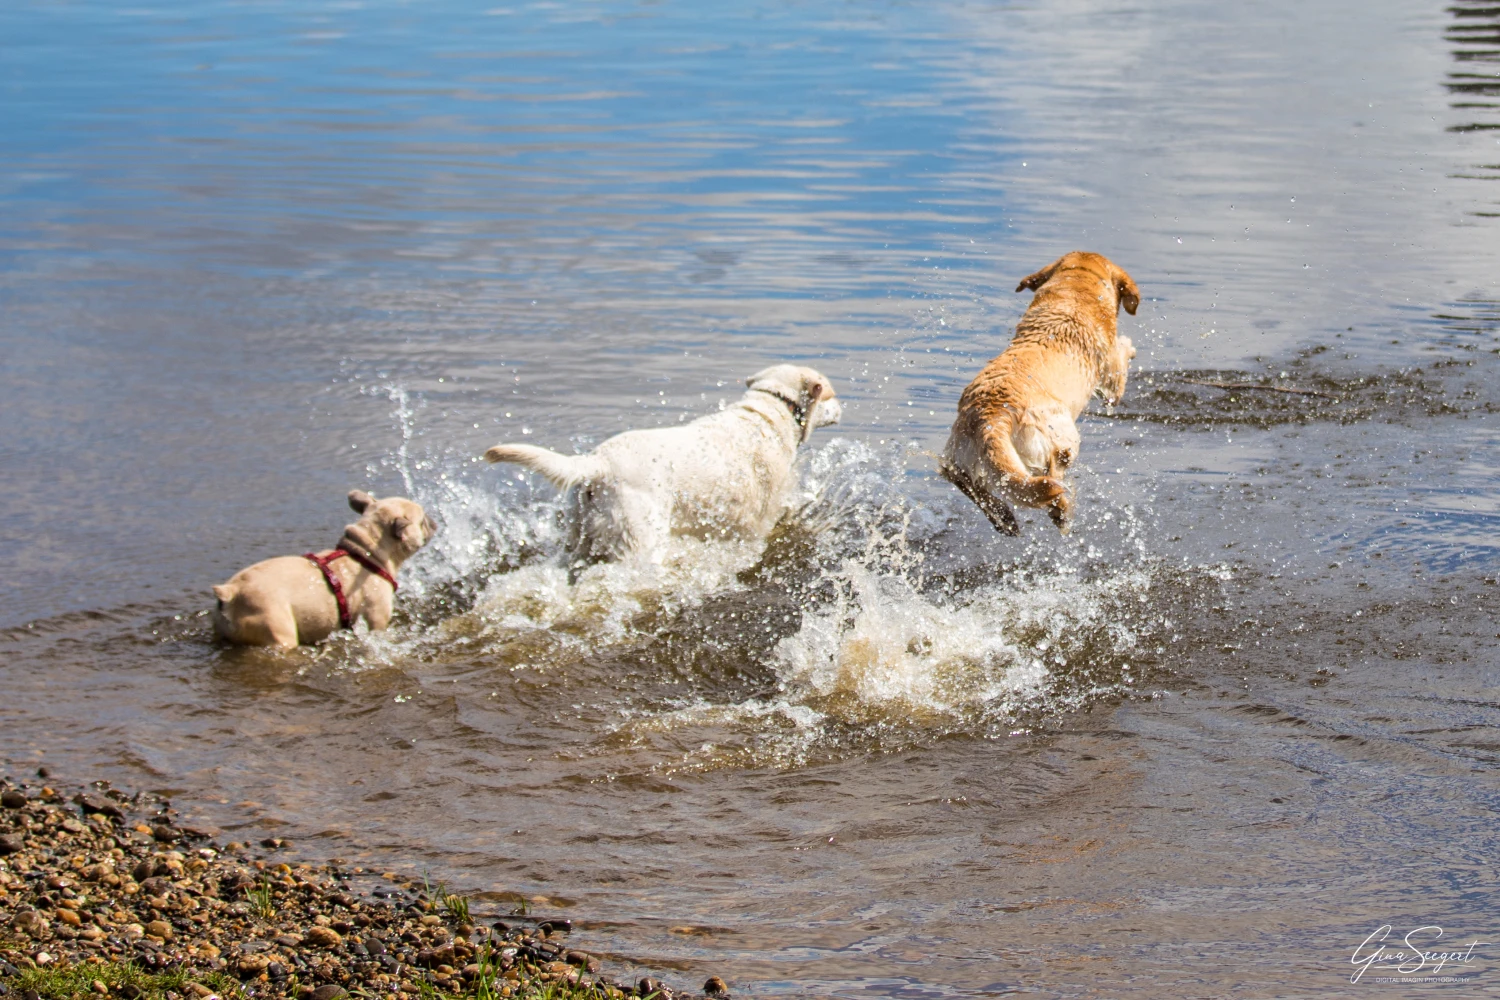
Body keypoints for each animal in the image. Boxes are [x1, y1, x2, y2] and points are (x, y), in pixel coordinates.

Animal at [211, 491, 435, 650]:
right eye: (422, 521)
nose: (433, 521)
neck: (366, 554)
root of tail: (231, 592)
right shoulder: (376, 620)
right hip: (277, 631)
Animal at [492, 364, 846, 563]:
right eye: (830, 394)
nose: (843, 407)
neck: (770, 411)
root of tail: (597, 463)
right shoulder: (761, 520)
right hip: (640, 540)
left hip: (579, 537)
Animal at [936, 254, 1134, 536]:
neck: (1075, 288)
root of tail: (991, 415)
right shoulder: (1111, 377)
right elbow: (1122, 357)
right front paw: (1129, 348)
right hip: (1063, 436)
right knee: (1053, 471)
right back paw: (1061, 510)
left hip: (962, 454)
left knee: (961, 478)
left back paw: (1004, 518)